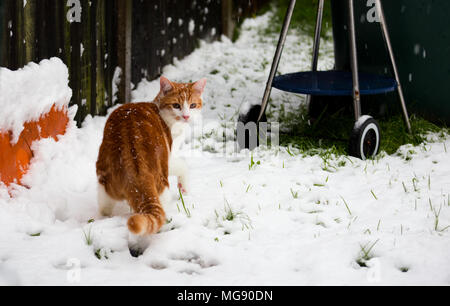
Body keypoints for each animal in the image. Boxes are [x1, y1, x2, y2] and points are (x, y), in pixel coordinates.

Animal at [97, 76, 207, 234]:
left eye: (192, 105)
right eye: (176, 105)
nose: (186, 116)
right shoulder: (169, 158)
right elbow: (183, 164)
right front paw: (184, 188)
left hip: (104, 181)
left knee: (104, 208)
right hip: (162, 185)